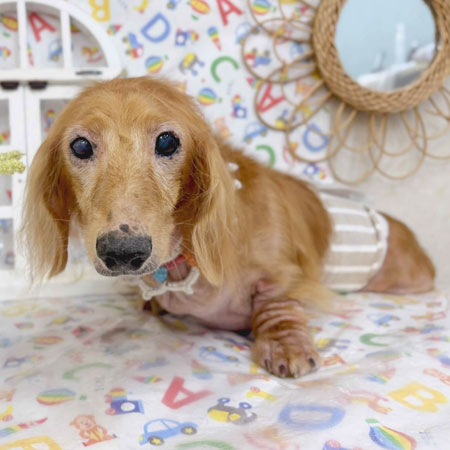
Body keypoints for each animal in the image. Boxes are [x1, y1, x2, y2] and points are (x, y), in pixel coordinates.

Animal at [22, 77, 435, 378]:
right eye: (80, 146)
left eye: (167, 141)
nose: (123, 252)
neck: (182, 260)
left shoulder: (283, 276)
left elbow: (278, 305)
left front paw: (286, 345)